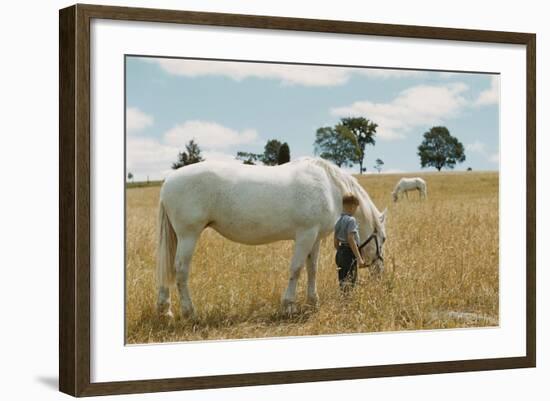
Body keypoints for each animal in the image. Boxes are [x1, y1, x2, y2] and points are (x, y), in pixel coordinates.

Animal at [155, 156, 388, 316]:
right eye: (383, 238)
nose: (380, 272)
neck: (329, 187)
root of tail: (168, 182)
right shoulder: (305, 235)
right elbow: (296, 269)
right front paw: (289, 305)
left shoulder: (315, 238)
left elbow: (312, 269)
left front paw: (313, 301)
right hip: (188, 235)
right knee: (180, 270)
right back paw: (189, 312)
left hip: (178, 237)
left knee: (167, 268)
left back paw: (165, 310)